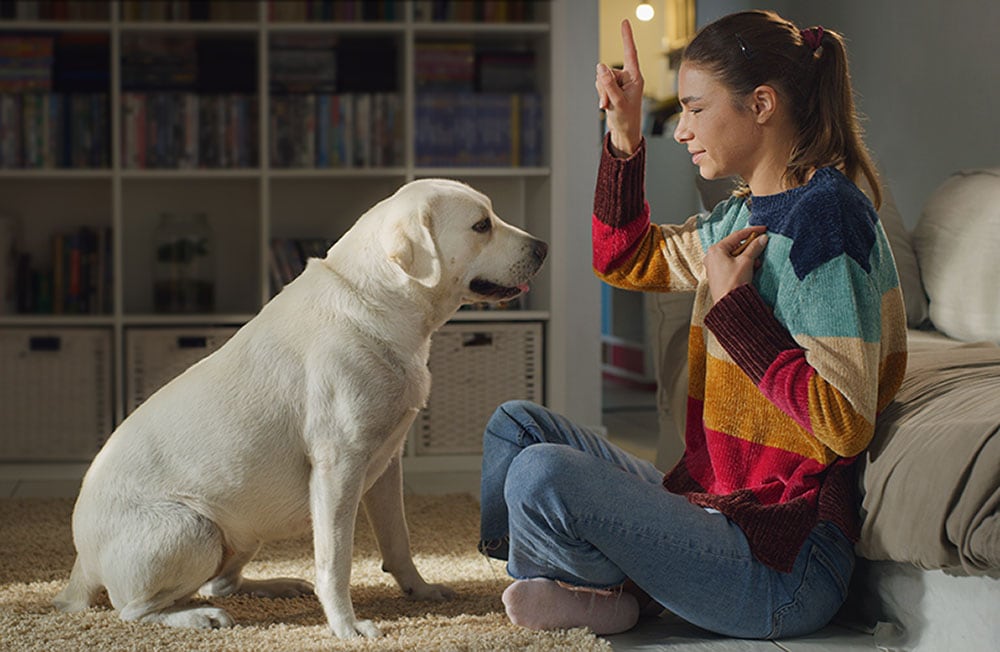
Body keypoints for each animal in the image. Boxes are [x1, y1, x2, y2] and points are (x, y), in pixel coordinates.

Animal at [54, 178, 552, 636]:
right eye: (482, 225)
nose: (545, 247)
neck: (376, 302)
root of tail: (81, 565)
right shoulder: (338, 468)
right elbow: (337, 562)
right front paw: (347, 628)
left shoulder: (386, 465)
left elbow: (398, 541)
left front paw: (420, 590)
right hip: (194, 530)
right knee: (135, 609)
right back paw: (199, 616)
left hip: (243, 530)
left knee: (222, 583)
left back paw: (274, 585)